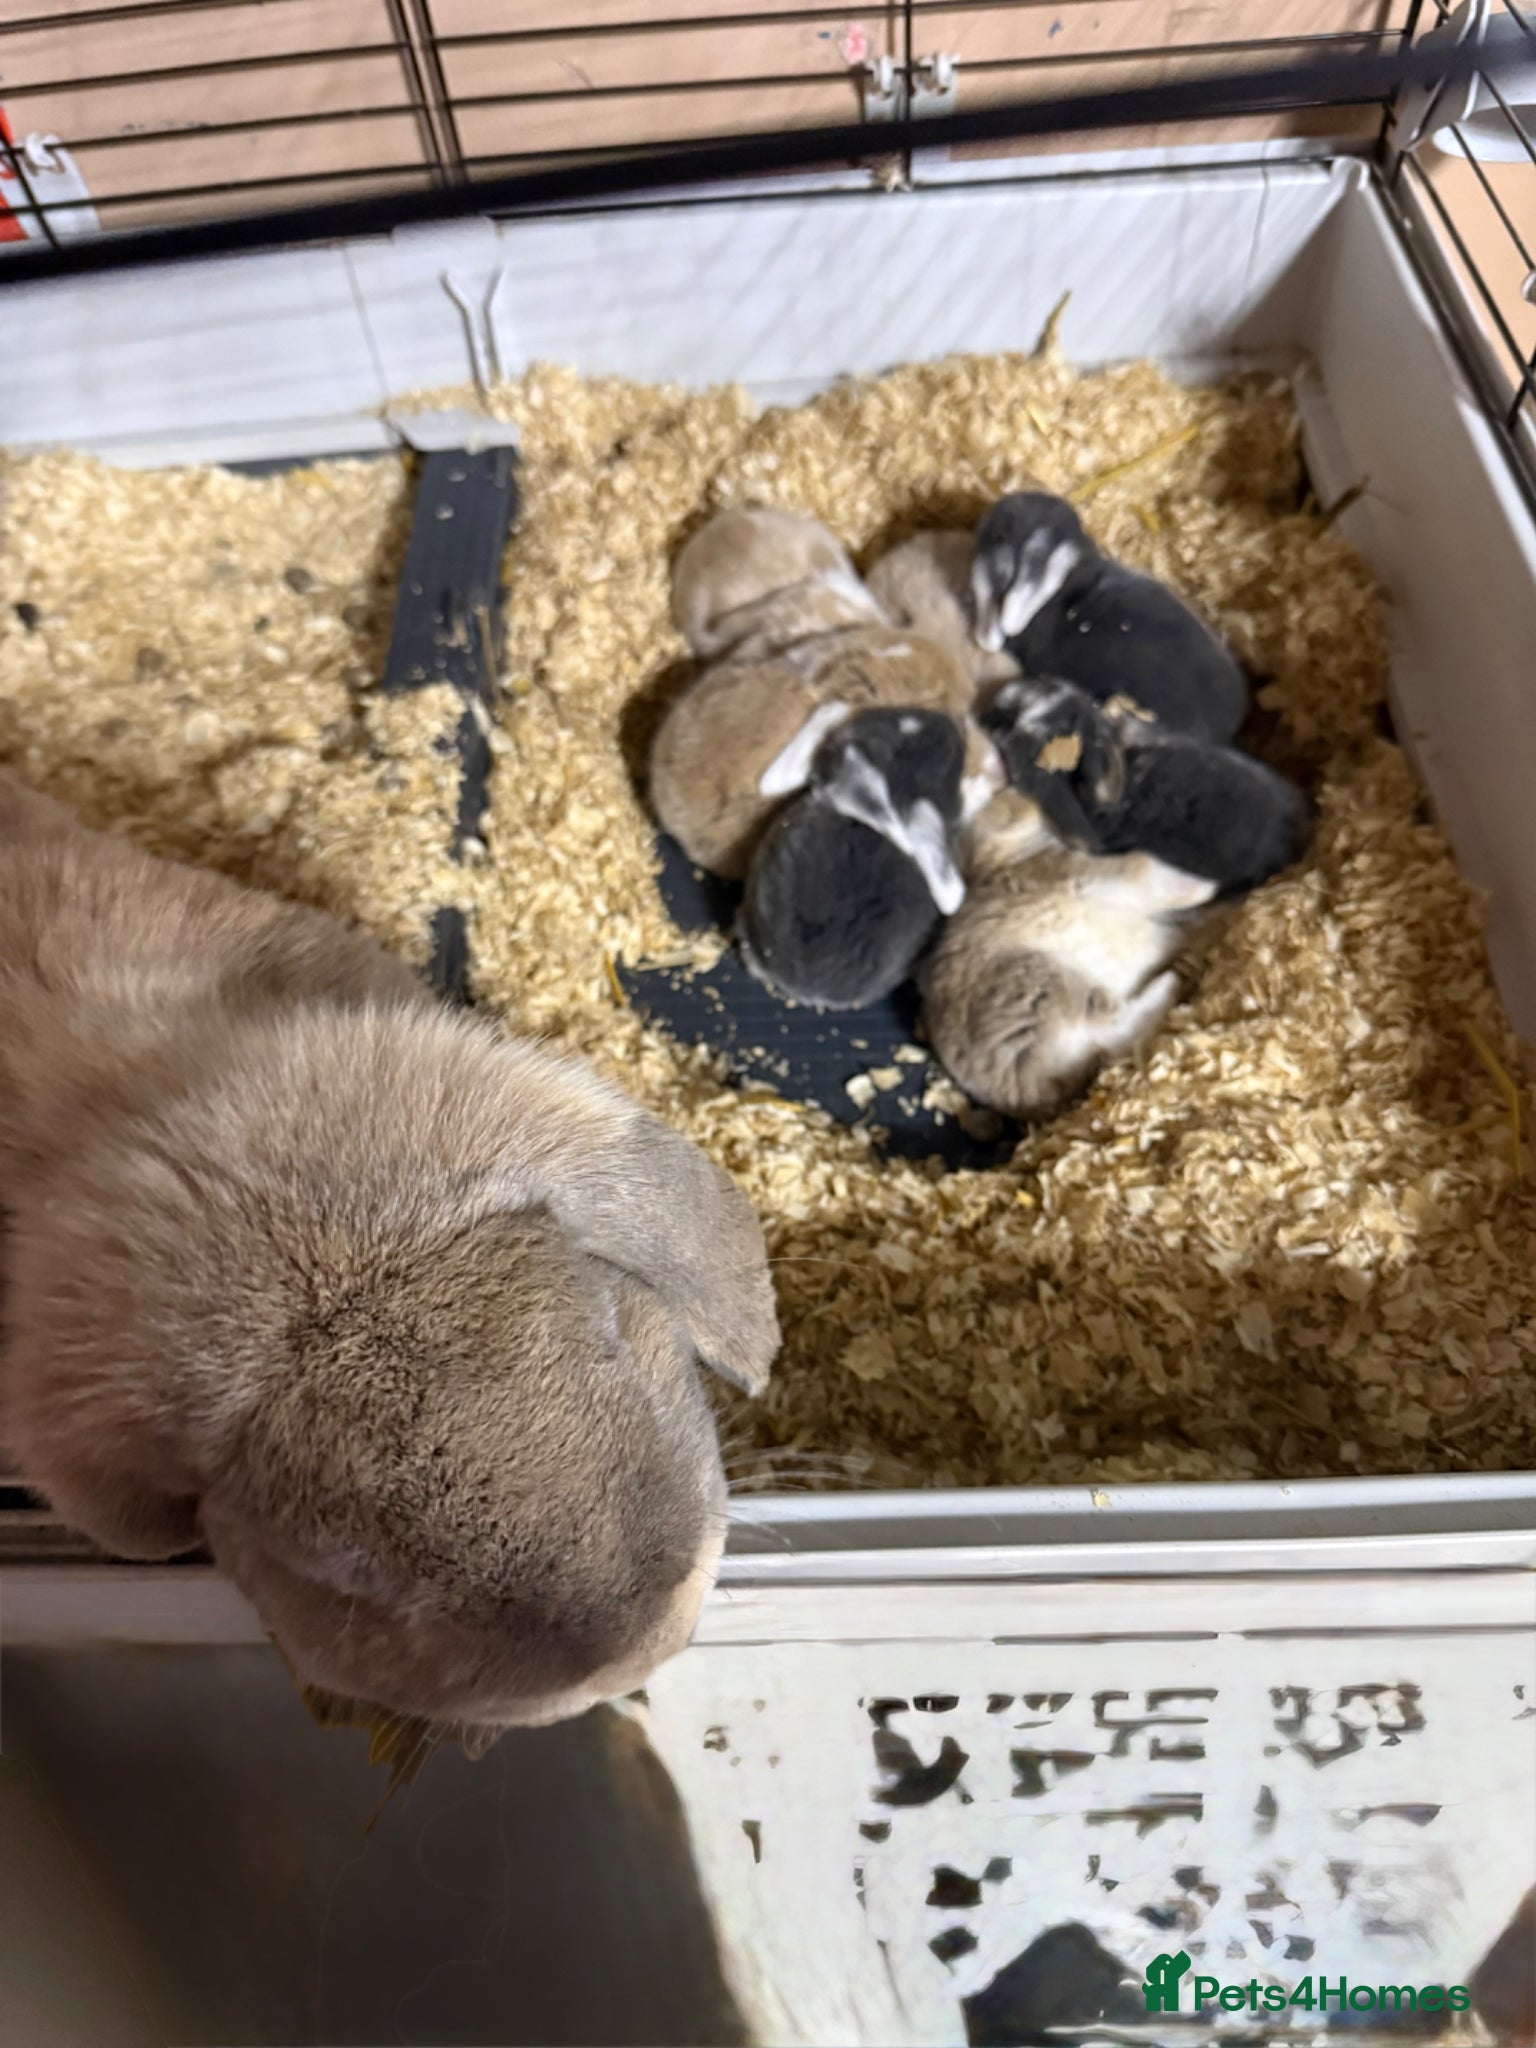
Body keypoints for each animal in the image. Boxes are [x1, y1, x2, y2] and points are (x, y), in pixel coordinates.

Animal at [920, 789, 1219, 1120]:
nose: (1028, 799)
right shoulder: (1080, 871)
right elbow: (1143, 868)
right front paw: (1207, 888)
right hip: (1045, 983)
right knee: (1114, 1023)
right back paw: (1173, 978)